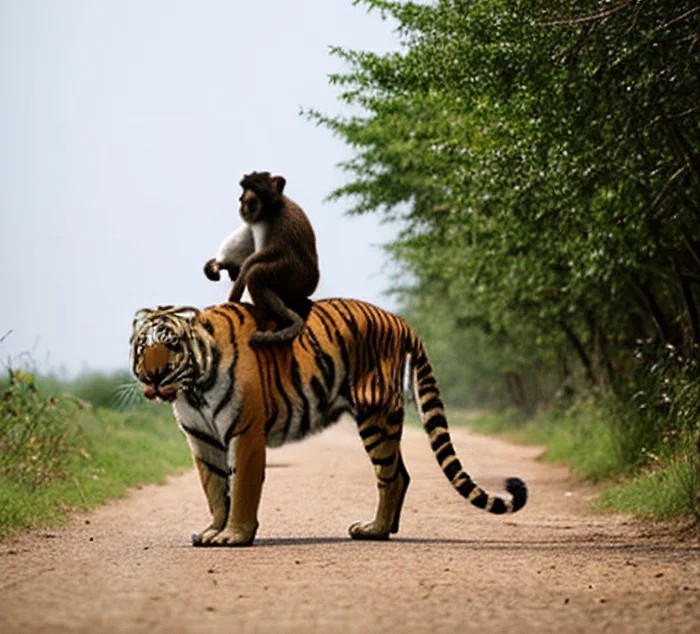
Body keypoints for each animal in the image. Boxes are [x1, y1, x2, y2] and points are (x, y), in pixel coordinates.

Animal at [130, 298, 524, 544]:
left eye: (172, 344)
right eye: (141, 347)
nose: (153, 376)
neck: (192, 388)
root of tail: (400, 321)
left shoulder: (246, 432)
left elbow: (241, 487)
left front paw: (233, 536)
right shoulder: (202, 438)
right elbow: (213, 489)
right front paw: (213, 530)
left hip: (375, 415)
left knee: (392, 475)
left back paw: (374, 530)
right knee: (401, 473)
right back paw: (383, 529)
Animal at [204, 170, 322, 344]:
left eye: (251, 193)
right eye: (244, 190)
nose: (242, 198)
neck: (270, 210)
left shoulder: (282, 223)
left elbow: (259, 259)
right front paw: (221, 265)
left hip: (299, 282)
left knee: (256, 273)